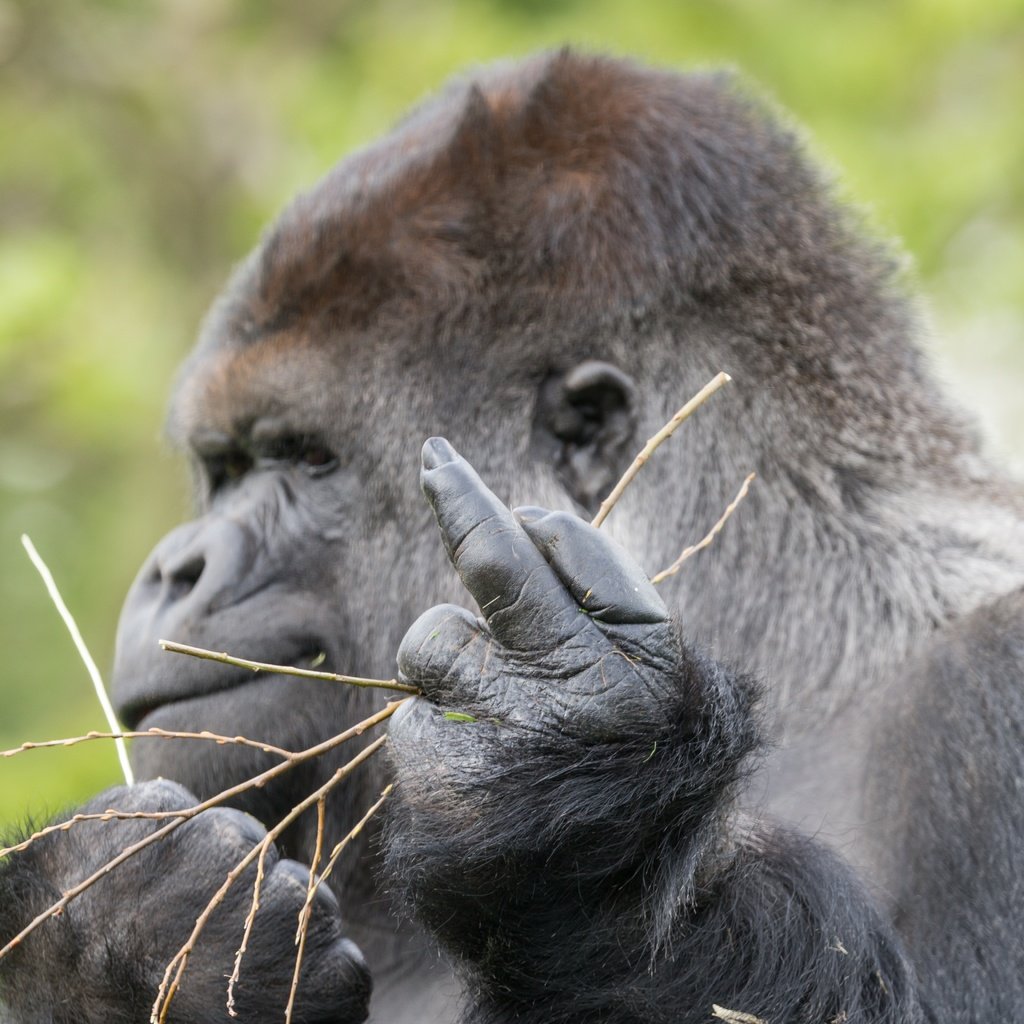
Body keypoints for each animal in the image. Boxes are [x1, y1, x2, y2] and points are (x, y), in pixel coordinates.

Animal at [2, 51, 1024, 1024]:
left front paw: (570, 796)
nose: (176, 570)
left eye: (307, 458)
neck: (789, 615)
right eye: (221, 468)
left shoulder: (993, 680)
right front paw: (101, 933)